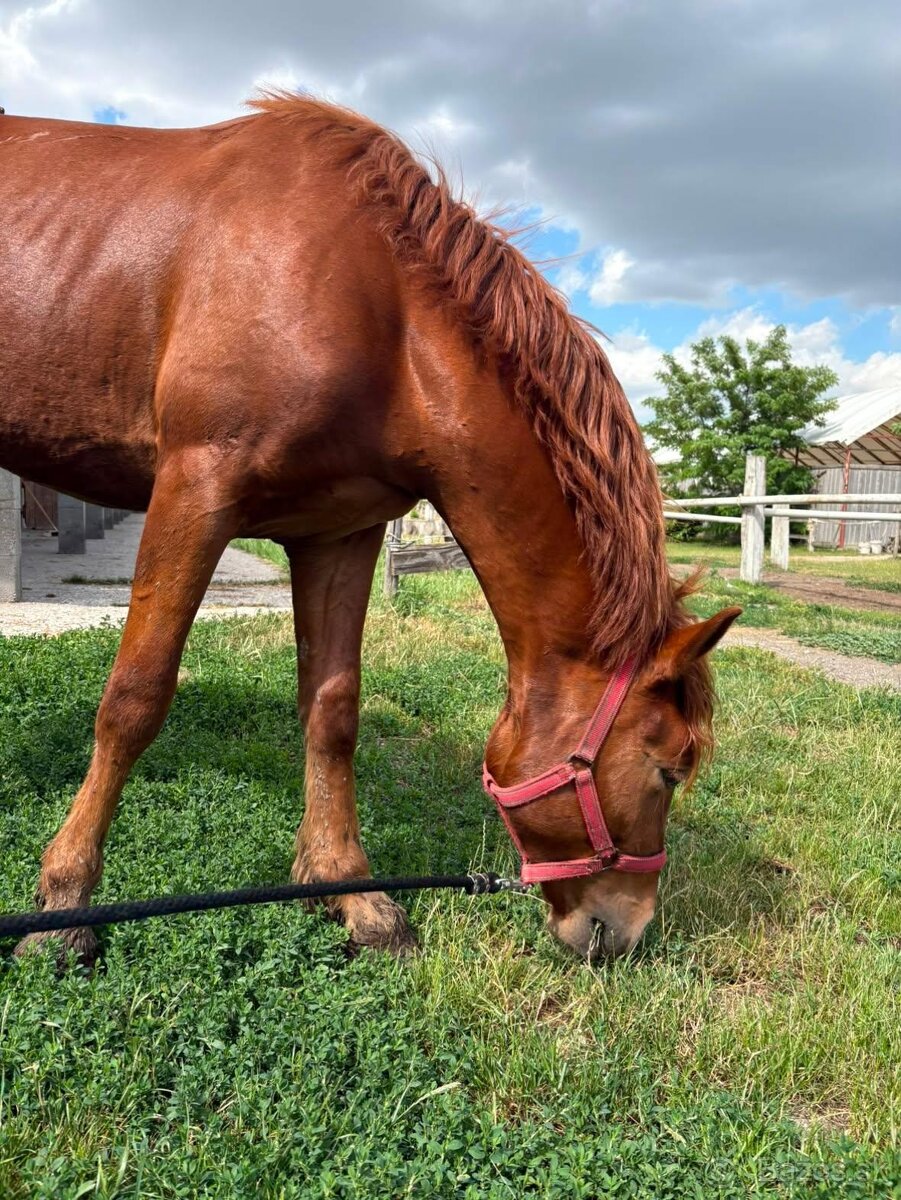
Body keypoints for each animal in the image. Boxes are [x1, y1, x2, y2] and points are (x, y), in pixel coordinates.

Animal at [0, 94, 739, 967]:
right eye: (666, 771)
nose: (621, 933)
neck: (378, 307)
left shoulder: (341, 532)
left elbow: (333, 712)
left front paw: (354, 896)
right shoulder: (193, 489)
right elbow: (135, 697)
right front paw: (65, 902)